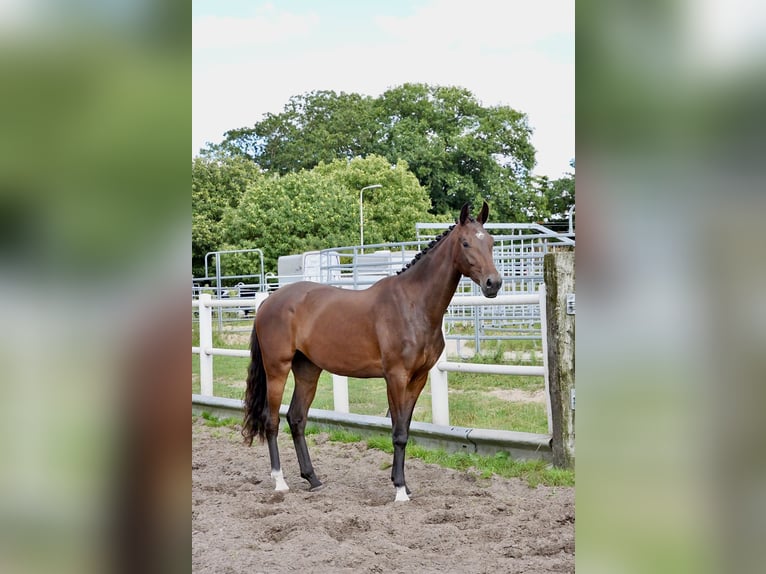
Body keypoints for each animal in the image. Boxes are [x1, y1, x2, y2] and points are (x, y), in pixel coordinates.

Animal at [242, 202, 504, 504]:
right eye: (465, 243)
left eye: (491, 242)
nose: (493, 283)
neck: (412, 304)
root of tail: (268, 302)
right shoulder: (396, 377)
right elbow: (398, 432)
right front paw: (400, 490)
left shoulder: (418, 379)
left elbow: (405, 429)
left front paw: (403, 485)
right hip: (277, 368)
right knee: (271, 420)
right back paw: (280, 482)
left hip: (308, 370)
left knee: (296, 419)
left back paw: (313, 479)